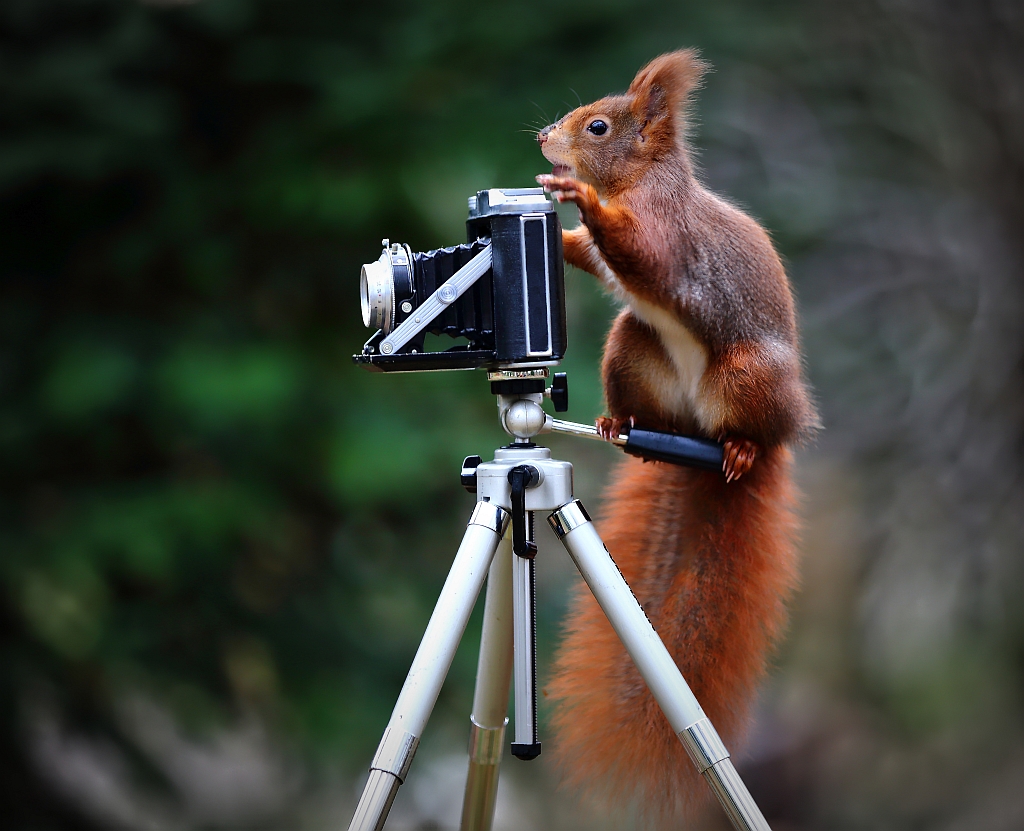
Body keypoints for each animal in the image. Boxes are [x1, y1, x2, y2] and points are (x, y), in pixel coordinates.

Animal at [536, 50, 815, 818]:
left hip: (746, 377)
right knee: (646, 396)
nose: (543, 137)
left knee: (752, 430)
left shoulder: (668, 233)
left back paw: (745, 448)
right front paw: (558, 228)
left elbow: (641, 251)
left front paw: (575, 193)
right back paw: (619, 421)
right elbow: (592, 255)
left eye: (598, 127)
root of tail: (700, 431)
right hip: (632, 347)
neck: (639, 180)